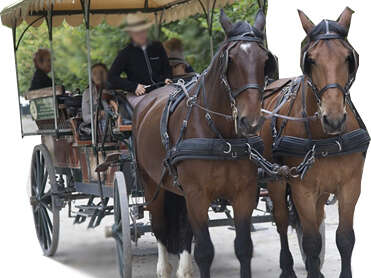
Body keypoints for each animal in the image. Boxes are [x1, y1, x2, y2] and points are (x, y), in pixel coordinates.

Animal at [134, 9, 274, 278]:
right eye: (231, 61)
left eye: (265, 61)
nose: (250, 121)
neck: (222, 136)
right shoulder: (196, 194)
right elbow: (205, 252)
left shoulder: (244, 193)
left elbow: (243, 248)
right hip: (151, 183)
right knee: (159, 226)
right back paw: (164, 268)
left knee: (184, 229)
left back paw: (184, 268)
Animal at [260, 6, 368, 278]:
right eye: (310, 60)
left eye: (348, 58)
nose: (334, 119)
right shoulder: (302, 189)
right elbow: (310, 240)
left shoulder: (350, 185)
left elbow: (345, 238)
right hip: (275, 180)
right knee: (282, 222)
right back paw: (288, 267)